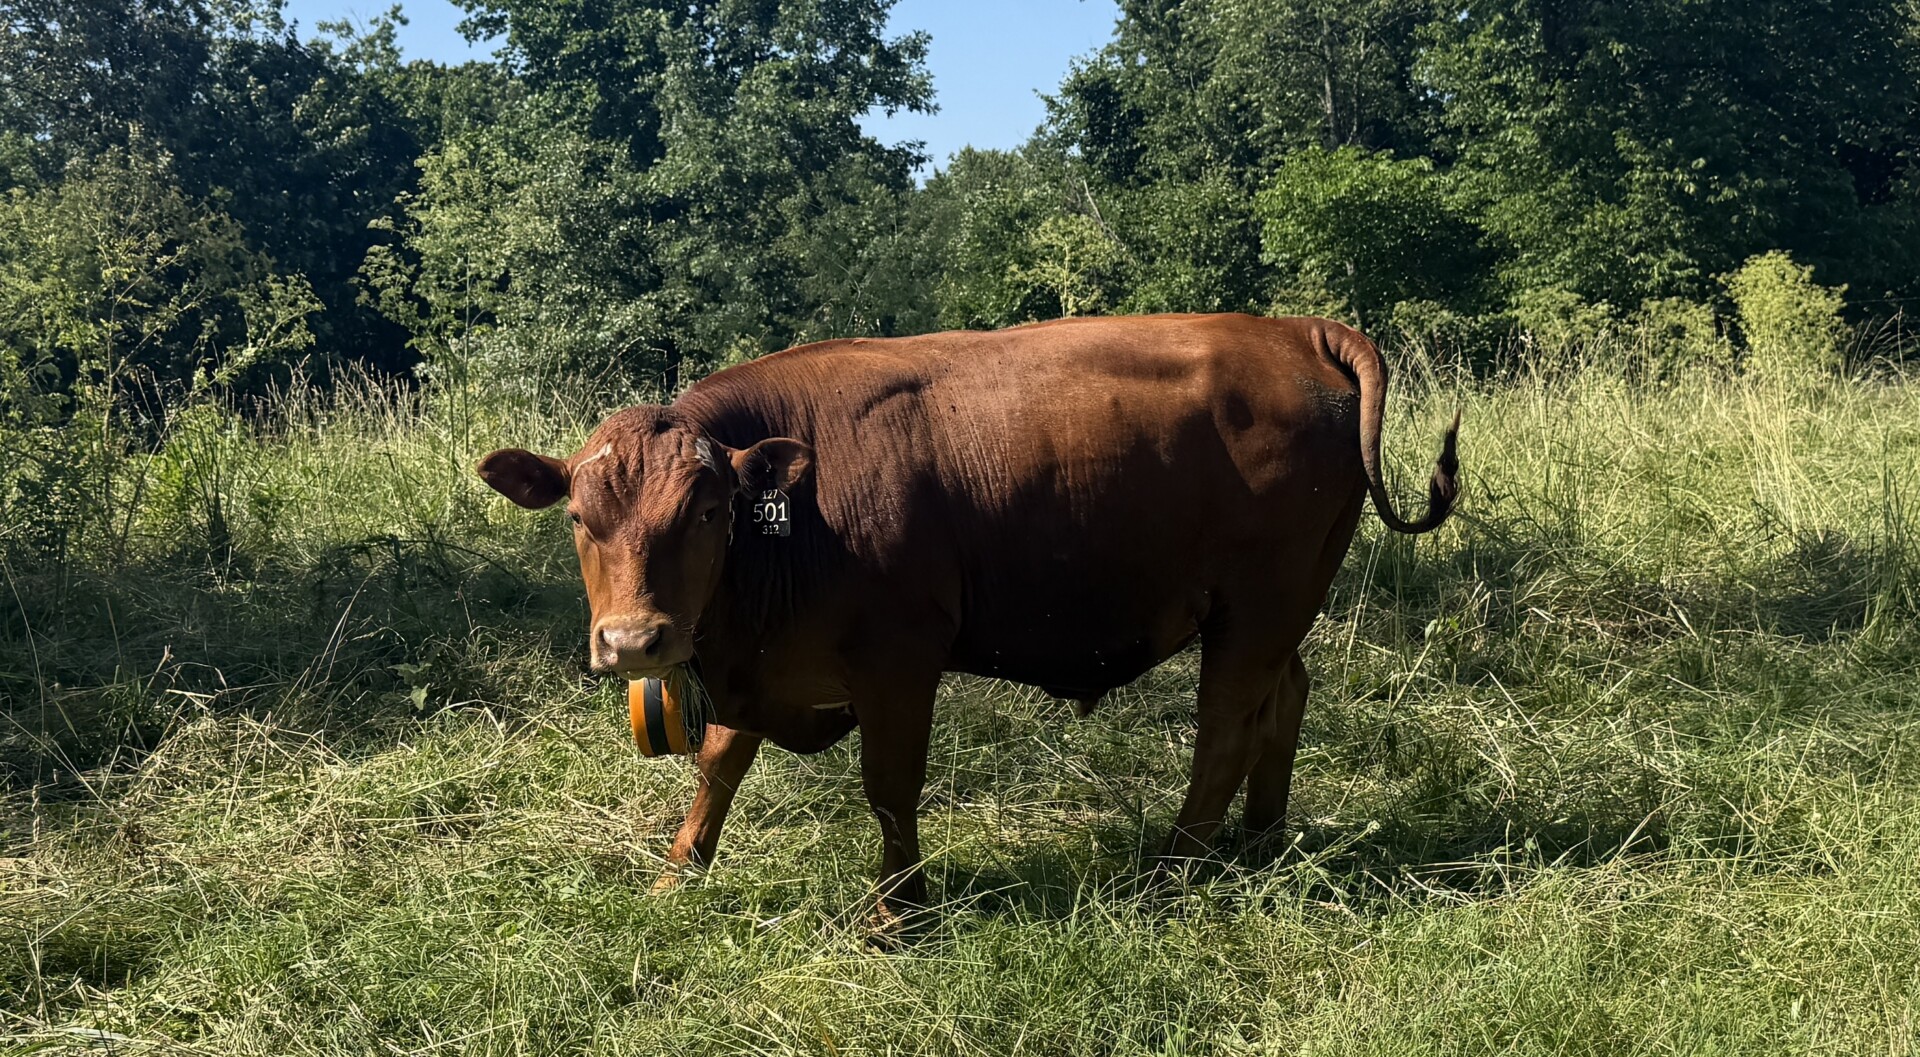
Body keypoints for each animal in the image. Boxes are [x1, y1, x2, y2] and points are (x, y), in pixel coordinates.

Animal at [477, 313, 1458, 914]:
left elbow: (889, 788)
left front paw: (896, 912)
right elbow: (718, 767)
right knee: (1282, 699)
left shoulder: (898, 663)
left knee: (1224, 728)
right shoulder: (756, 665)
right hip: (1279, 612)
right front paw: (678, 877)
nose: (635, 640)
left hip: (1256, 608)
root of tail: (1294, 329)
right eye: (578, 517)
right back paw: (1262, 837)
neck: (797, 521)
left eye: (712, 510)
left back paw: (1174, 870)